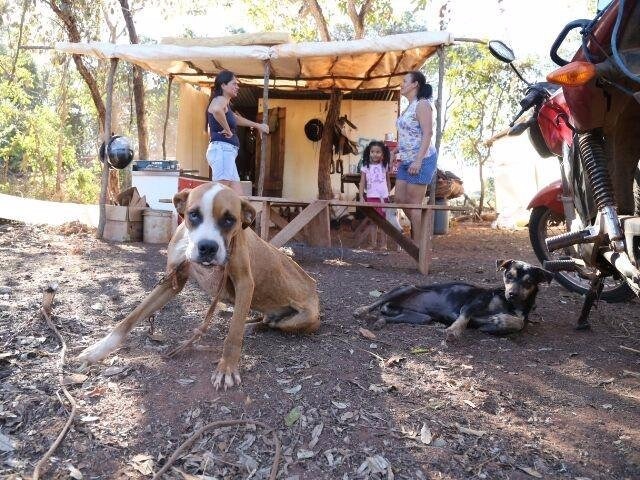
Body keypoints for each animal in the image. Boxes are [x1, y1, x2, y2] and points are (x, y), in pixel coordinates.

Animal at [352, 258, 552, 342]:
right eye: (508, 276)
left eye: (529, 282)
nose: (512, 294)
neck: (511, 305)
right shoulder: (472, 304)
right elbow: (463, 318)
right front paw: (453, 331)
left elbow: (519, 323)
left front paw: (501, 321)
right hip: (406, 288)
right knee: (377, 301)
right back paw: (362, 310)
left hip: (421, 318)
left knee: (386, 316)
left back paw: (380, 322)